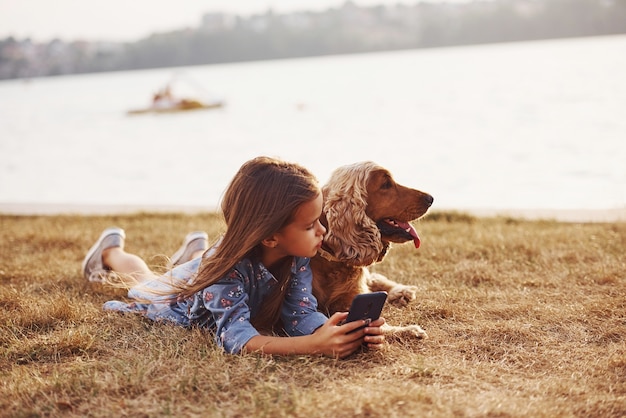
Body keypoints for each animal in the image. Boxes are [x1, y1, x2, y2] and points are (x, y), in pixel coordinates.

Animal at [310, 162, 432, 338]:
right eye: (386, 184)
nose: (431, 198)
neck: (332, 262)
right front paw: (409, 330)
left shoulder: (352, 298)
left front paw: (407, 330)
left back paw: (402, 292)